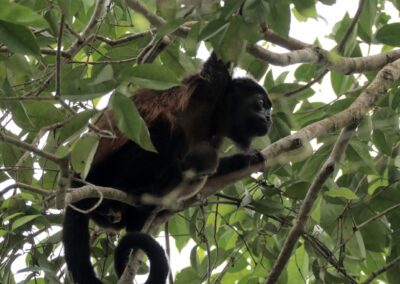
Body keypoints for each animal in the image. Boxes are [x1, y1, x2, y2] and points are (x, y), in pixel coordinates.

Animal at [62, 52, 274, 282]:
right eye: (261, 103)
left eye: (269, 108)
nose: (269, 117)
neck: (215, 115)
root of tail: (77, 181)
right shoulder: (210, 85)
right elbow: (217, 64)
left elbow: (209, 167)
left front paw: (244, 159)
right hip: (102, 173)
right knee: (165, 128)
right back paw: (138, 190)